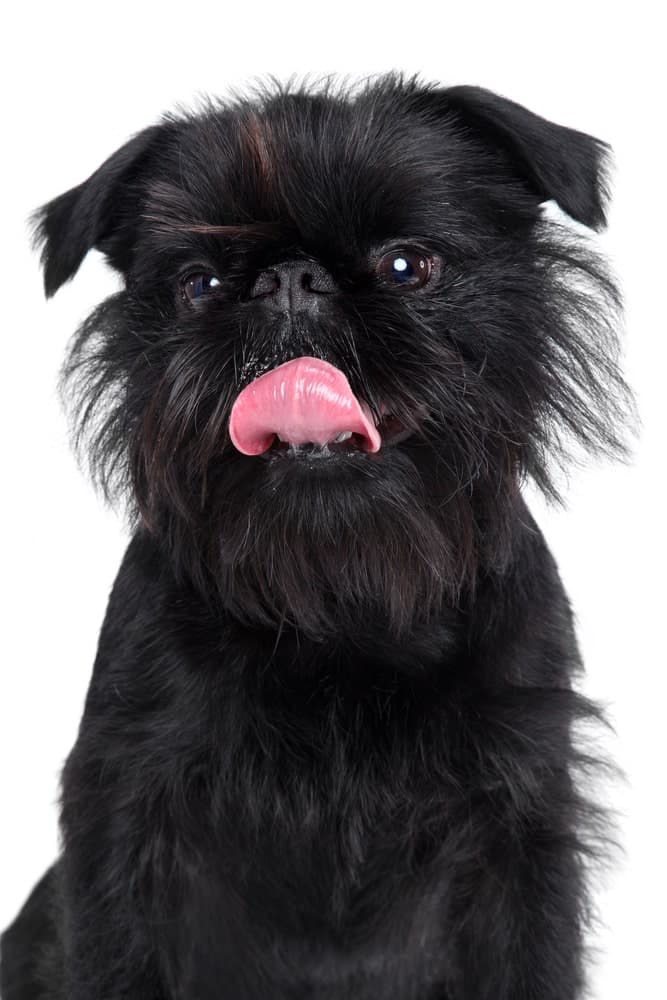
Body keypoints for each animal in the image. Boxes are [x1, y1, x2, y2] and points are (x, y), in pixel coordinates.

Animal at [1, 74, 632, 996]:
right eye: (199, 285)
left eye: (408, 266)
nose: (290, 280)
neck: (340, 599)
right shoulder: (125, 823)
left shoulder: (520, 834)